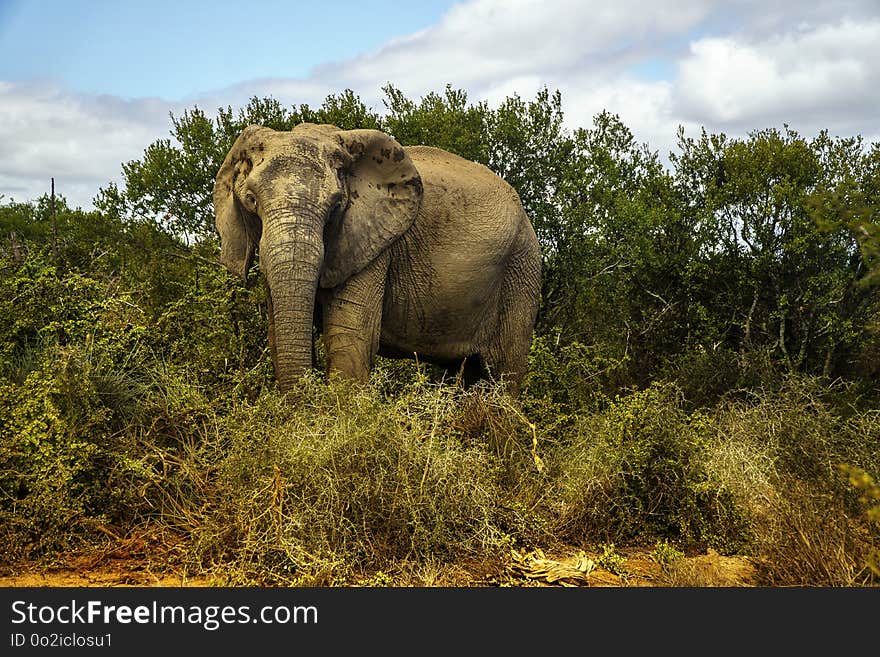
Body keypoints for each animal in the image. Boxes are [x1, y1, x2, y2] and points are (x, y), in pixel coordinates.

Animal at [214, 123, 544, 394]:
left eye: (336, 207)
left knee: (503, 374)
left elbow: (350, 338)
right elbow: (276, 335)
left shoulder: (373, 244)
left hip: (521, 268)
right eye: (251, 201)